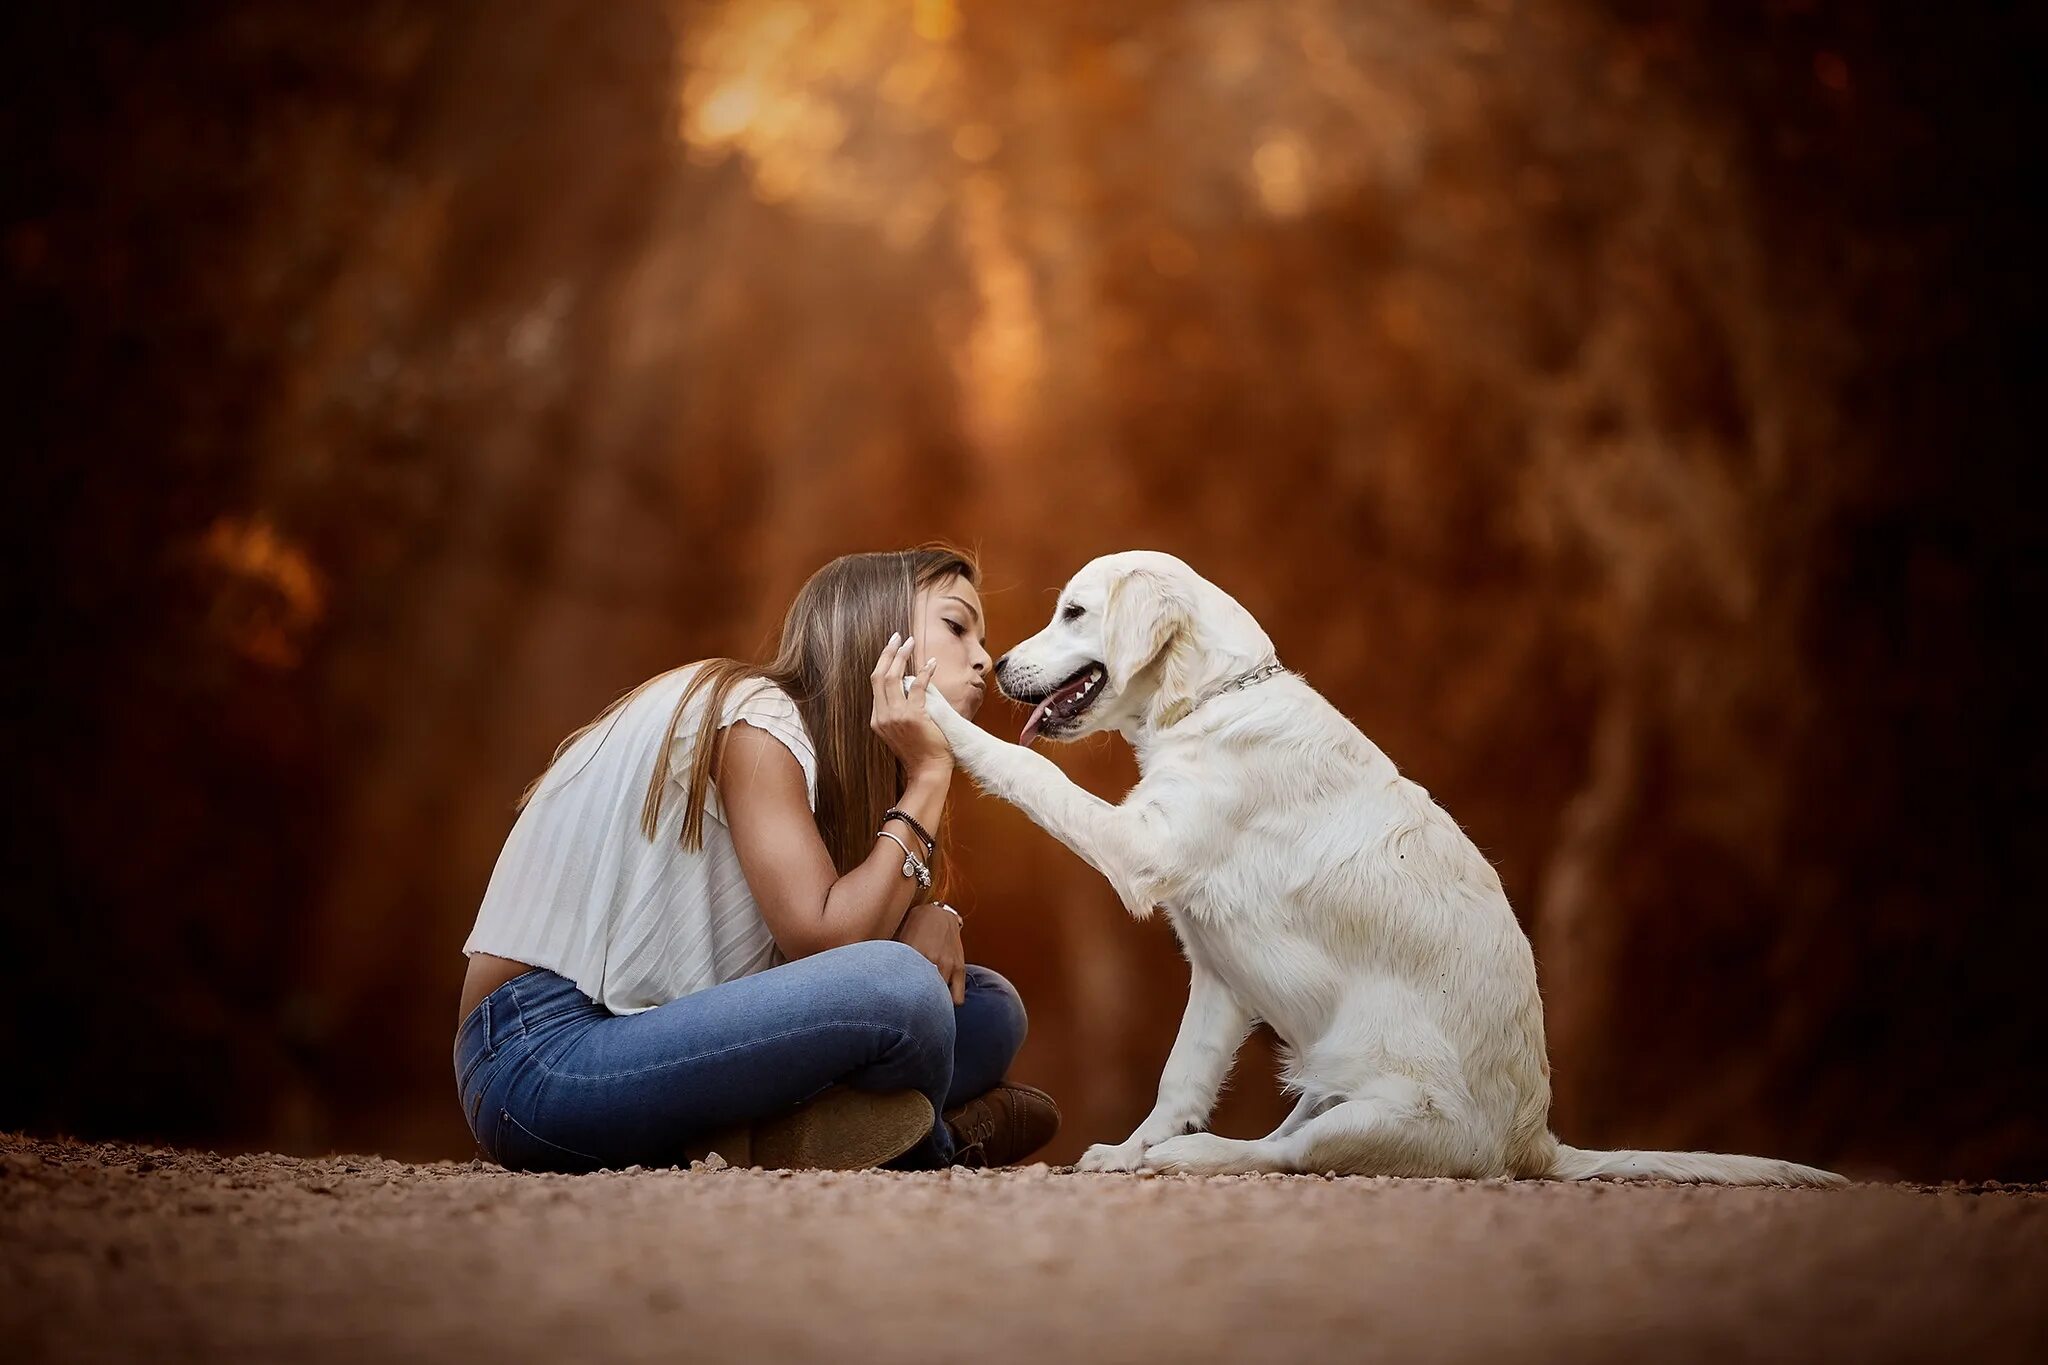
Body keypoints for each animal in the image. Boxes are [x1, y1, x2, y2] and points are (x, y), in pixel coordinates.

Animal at [925, 552, 1843, 1186]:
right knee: (1274, 1140)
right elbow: (1180, 1076)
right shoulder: (1219, 972)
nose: (998, 665)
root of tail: (1534, 1144)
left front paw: (930, 704)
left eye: (1074, 611)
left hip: (1375, 1109)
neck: (1214, 701)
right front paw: (1126, 1147)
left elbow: (1027, 768)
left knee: (1281, 1157)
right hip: (1323, 1087)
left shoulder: (1137, 849)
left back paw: (1193, 1159)